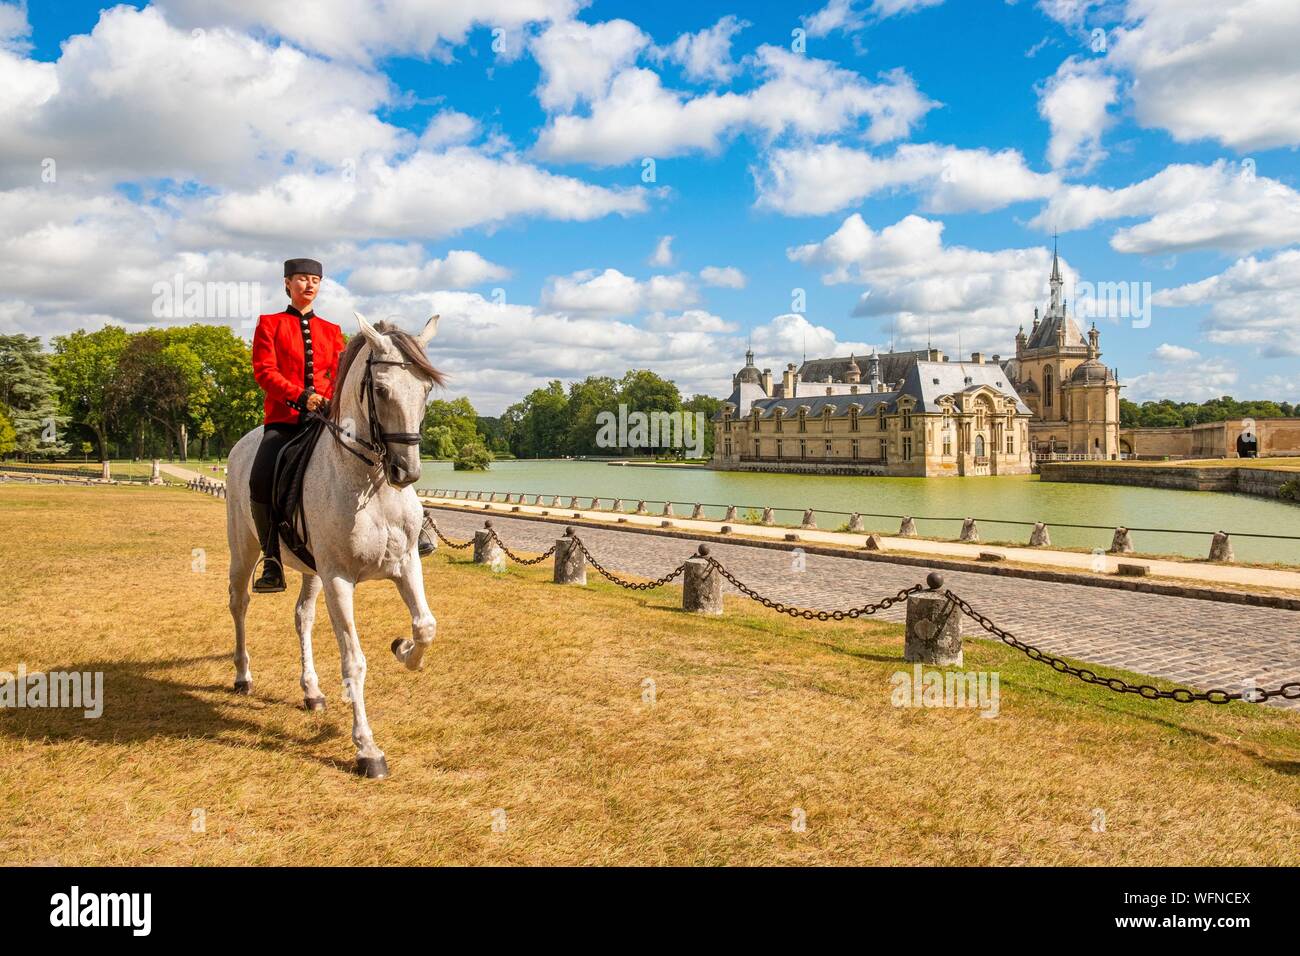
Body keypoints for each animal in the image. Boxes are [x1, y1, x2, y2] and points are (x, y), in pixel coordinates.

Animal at [226, 314, 444, 780]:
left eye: (426, 390)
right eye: (380, 389)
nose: (406, 472)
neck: (371, 484)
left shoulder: (406, 565)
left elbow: (426, 626)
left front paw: (404, 651)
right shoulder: (340, 579)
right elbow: (354, 659)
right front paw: (367, 749)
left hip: (311, 571)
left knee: (302, 618)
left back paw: (311, 691)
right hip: (245, 550)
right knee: (239, 604)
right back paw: (242, 675)